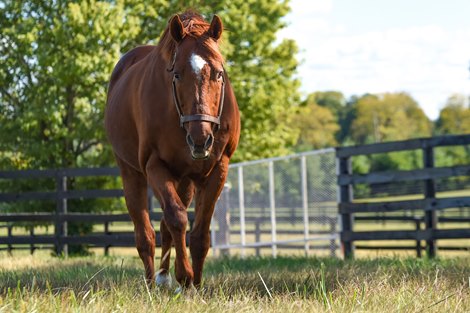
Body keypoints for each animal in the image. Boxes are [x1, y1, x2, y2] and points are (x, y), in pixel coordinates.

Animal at [105, 11, 241, 286]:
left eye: (219, 74)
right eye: (176, 74)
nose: (201, 140)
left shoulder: (217, 168)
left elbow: (200, 232)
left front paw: (196, 284)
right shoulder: (155, 165)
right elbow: (177, 218)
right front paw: (185, 276)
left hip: (185, 181)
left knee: (165, 225)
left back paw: (164, 276)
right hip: (132, 173)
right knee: (145, 233)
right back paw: (152, 281)